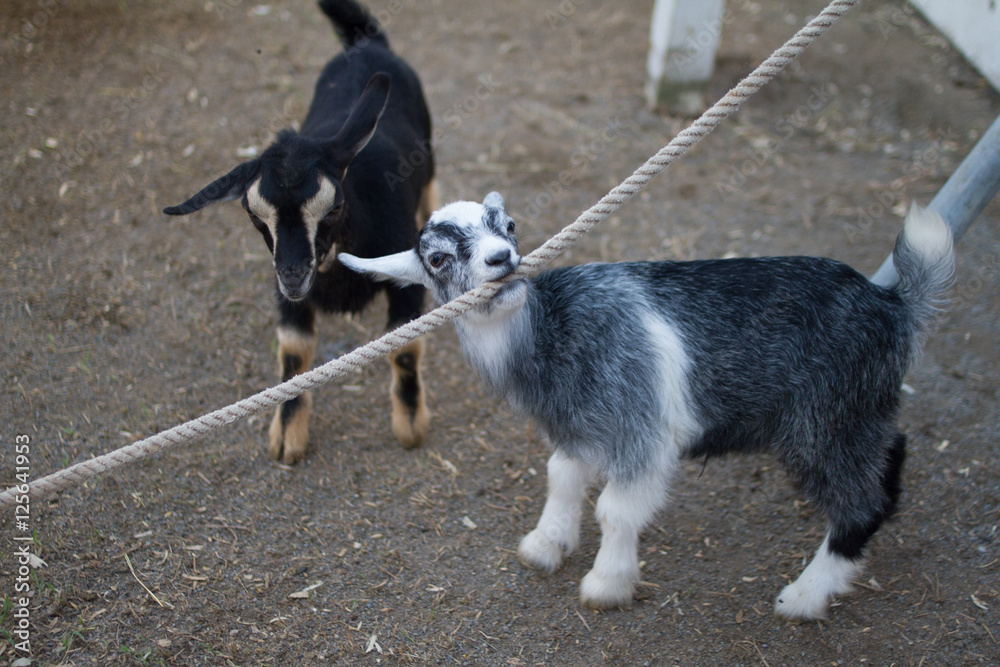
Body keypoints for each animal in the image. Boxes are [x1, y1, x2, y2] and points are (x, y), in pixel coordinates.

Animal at [164, 0, 434, 462]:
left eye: (335, 206)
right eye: (254, 216)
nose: (292, 275)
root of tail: (367, 44)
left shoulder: (404, 283)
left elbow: (402, 347)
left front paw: (410, 425)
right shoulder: (290, 301)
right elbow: (293, 354)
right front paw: (287, 436)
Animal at [342, 193, 952, 620]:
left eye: (508, 226)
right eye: (438, 258)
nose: (502, 260)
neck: (554, 332)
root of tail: (893, 305)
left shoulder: (642, 430)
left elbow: (615, 508)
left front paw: (606, 584)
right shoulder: (579, 426)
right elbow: (561, 476)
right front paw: (546, 545)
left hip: (823, 420)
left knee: (859, 505)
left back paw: (803, 597)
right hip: (861, 410)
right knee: (889, 453)